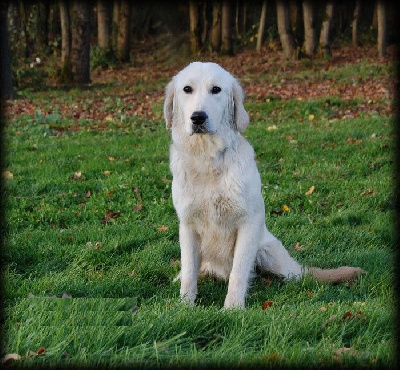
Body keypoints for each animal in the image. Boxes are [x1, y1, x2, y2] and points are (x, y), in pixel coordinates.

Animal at [163, 62, 366, 308]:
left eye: (216, 90)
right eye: (187, 89)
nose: (198, 118)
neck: (209, 159)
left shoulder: (248, 223)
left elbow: (239, 272)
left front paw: (233, 308)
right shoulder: (188, 226)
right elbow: (189, 272)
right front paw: (185, 305)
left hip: (271, 254)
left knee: (297, 275)